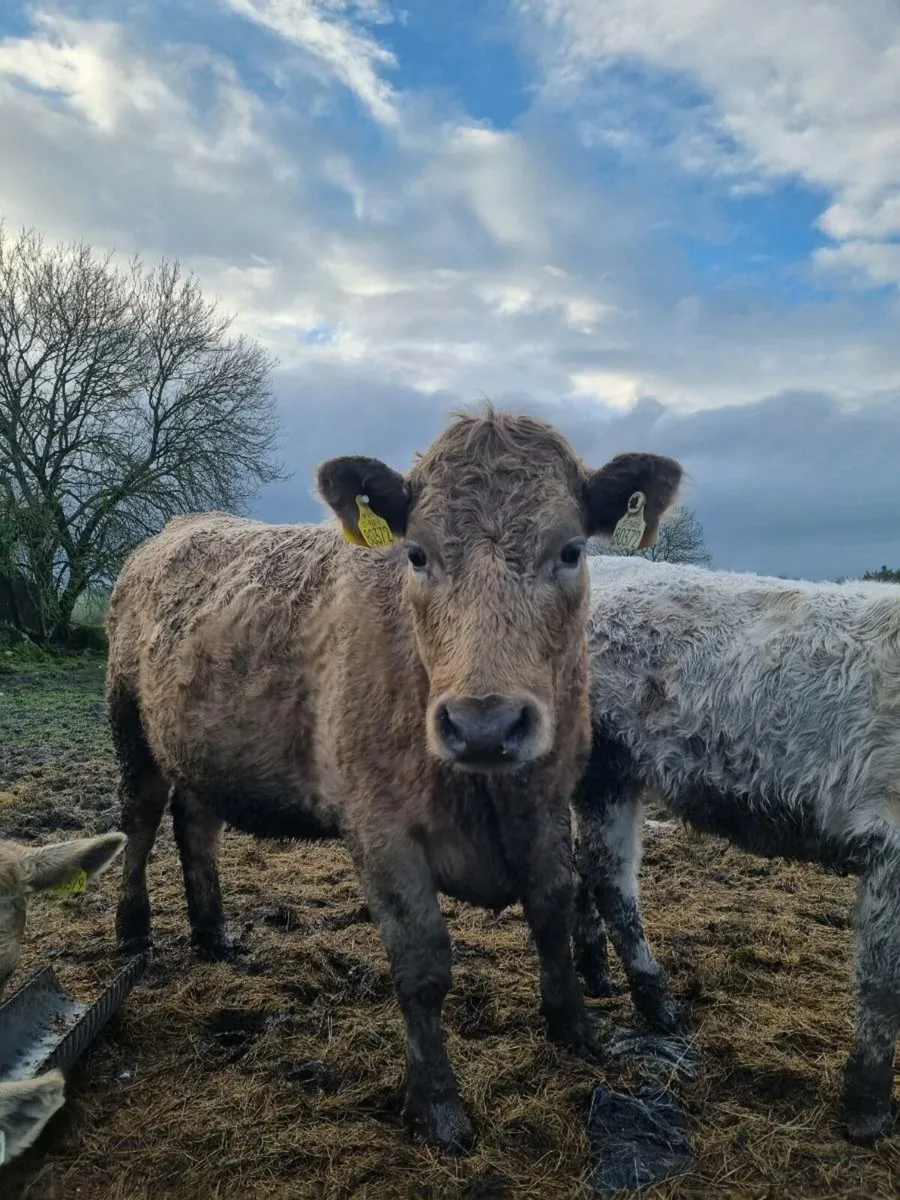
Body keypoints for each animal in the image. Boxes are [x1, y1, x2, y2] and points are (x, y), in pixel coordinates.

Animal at [103, 408, 682, 1151]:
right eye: (416, 554)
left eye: (572, 551)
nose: (485, 724)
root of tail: (176, 529)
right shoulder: (381, 831)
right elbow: (424, 964)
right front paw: (436, 1106)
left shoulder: (547, 800)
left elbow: (553, 909)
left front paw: (577, 1031)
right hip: (130, 726)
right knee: (139, 822)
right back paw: (133, 933)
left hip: (203, 748)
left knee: (195, 824)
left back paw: (216, 935)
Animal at [571, 554, 900, 1145]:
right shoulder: (891, 845)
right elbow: (885, 983)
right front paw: (868, 1112)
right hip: (605, 765)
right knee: (609, 876)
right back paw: (659, 1005)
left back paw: (596, 974)